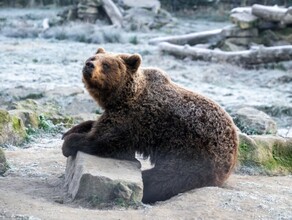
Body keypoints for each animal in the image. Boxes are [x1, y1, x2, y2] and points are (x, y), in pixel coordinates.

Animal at [62, 49, 238, 204]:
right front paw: (71, 130)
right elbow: (96, 125)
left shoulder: (134, 117)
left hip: (193, 153)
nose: (89, 64)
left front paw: (69, 143)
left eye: (106, 64)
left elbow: (104, 139)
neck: (122, 97)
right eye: (93, 57)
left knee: (166, 179)